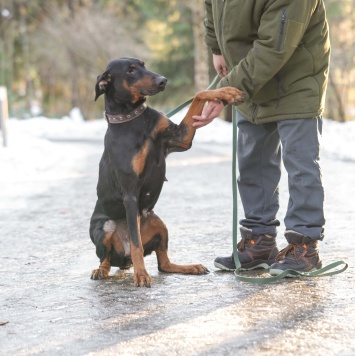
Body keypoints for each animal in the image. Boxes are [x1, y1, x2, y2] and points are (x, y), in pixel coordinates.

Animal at [90, 57, 245, 288]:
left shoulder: (180, 138)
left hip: (158, 222)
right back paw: (102, 270)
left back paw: (190, 267)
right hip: (105, 227)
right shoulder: (130, 194)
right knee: (107, 258)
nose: (163, 80)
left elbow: (199, 94)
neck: (133, 118)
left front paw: (228, 92)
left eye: (143, 64)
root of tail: (123, 259)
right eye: (130, 70)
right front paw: (141, 275)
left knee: (164, 264)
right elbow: (136, 243)